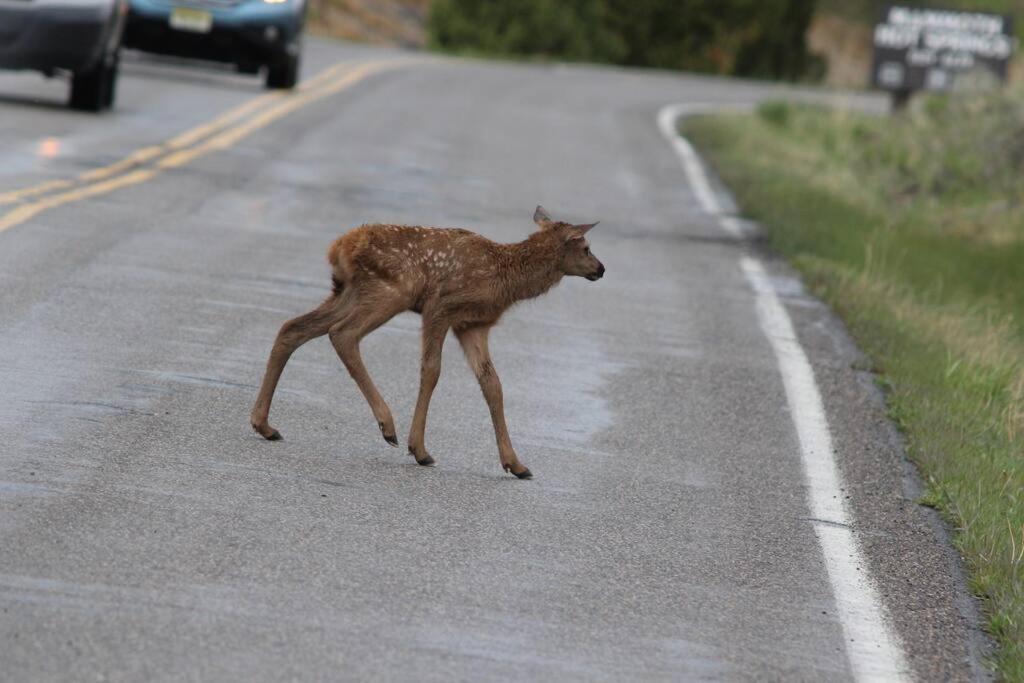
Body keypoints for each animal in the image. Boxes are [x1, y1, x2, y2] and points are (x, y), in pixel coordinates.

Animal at [248, 205, 602, 479]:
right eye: (585, 247)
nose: (601, 268)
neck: (504, 279)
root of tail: (340, 246)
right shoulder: (440, 308)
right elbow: (432, 371)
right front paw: (419, 448)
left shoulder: (473, 326)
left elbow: (493, 385)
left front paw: (516, 464)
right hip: (392, 290)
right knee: (343, 334)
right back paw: (387, 425)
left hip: (348, 291)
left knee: (293, 328)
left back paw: (264, 424)